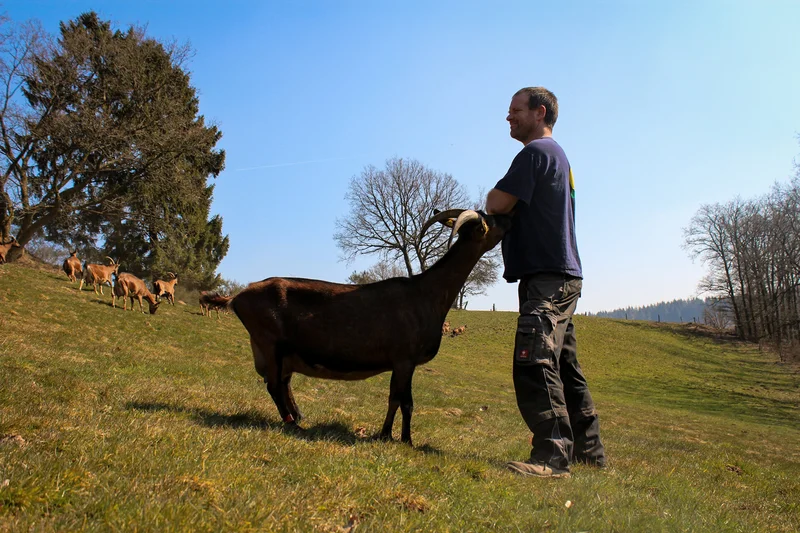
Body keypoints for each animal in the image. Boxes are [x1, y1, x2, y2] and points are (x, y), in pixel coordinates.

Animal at [202, 209, 512, 445]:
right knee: (275, 385)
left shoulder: (398, 362)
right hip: (270, 342)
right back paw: (294, 424)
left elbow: (394, 398)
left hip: (281, 350)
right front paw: (406, 440)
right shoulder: (405, 359)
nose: (509, 216)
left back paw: (299, 417)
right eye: (490, 221)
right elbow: (405, 401)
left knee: (281, 383)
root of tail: (238, 296)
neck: (427, 294)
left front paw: (386, 435)